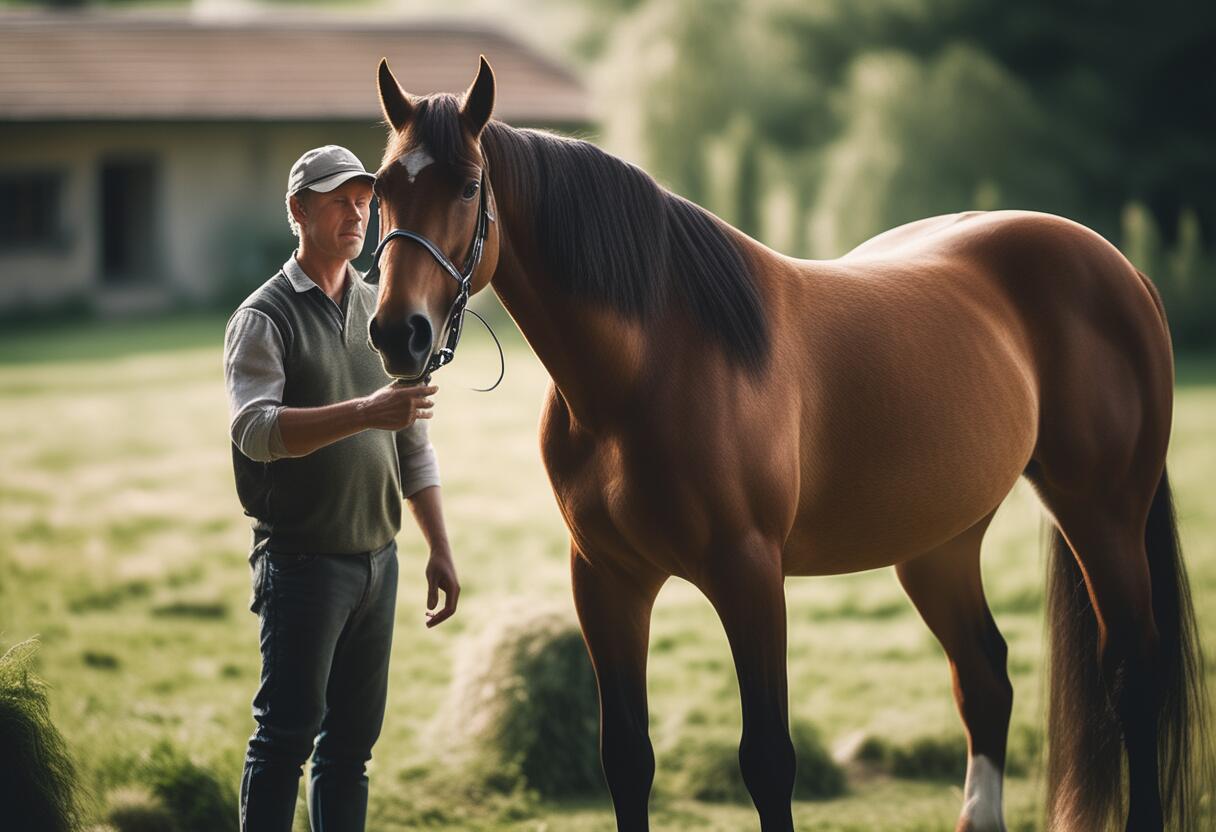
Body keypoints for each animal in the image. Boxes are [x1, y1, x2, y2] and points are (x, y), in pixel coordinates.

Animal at [365, 56, 1211, 832]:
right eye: (382, 189)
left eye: (468, 187)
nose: (398, 333)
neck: (652, 366)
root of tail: (1121, 269)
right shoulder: (606, 578)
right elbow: (626, 759)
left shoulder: (749, 575)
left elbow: (768, 760)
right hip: (940, 543)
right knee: (985, 677)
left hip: (1103, 514)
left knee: (1133, 675)